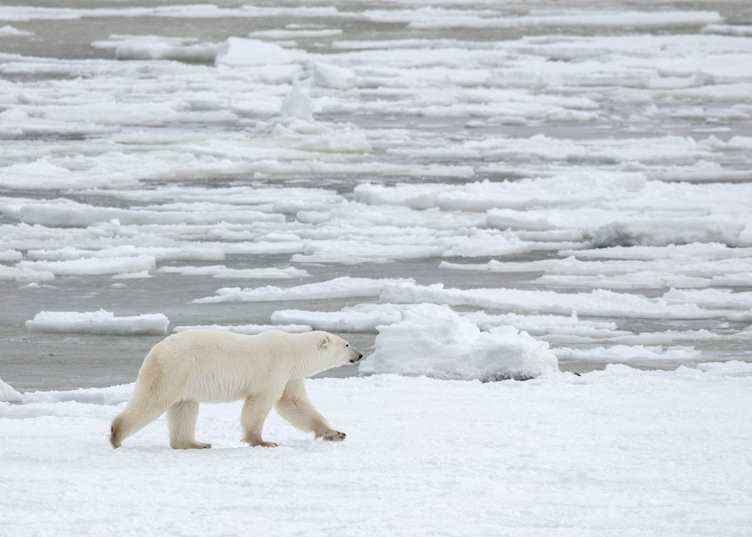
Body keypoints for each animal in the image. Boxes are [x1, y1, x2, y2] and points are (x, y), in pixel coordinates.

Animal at [110, 329, 363, 449]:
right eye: (347, 344)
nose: (360, 355)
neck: (293, 351)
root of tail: (155, 350)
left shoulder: (289, 375)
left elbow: (294, 403)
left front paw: (335, 433)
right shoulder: (274, 368)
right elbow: (259, 404)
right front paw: (262, 441)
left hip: (185, 380)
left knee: (185, 408)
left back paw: (196, 443)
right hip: (174, 369)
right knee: (152, 400)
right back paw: (116, 436)